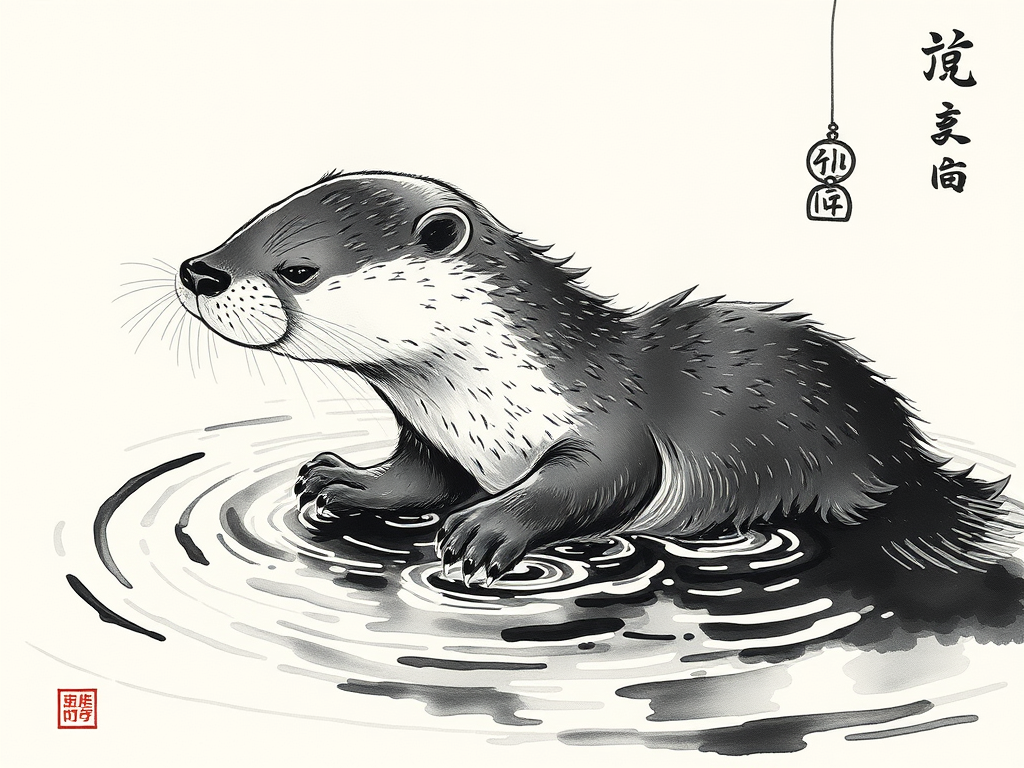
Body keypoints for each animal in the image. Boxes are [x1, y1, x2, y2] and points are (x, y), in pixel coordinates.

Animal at [175, 171, 1018, 585]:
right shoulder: (437, 438)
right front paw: (343, 478)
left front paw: (488, 527)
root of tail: (902, 459)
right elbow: (416, 477)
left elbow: (597, 478)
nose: (200, 270)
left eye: (297, 268)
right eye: (246, 227)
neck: (479, 400)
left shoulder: (609, 421)